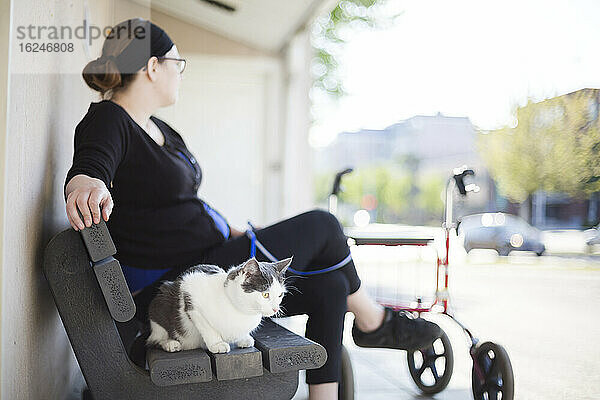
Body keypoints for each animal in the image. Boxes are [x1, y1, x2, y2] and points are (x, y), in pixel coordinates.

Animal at [148, 256, 292, 354]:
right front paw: (217, 344)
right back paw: (170, 343)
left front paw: (244, 338)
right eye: (265, 295)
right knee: (154, 340)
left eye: (280, 295)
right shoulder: (192, 301)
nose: (275, 309)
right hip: (159, 306)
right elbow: (208, 328)